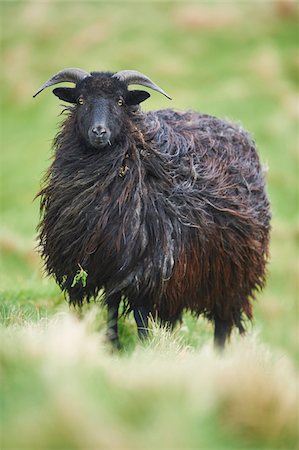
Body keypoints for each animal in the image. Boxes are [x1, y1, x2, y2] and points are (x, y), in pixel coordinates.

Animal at [33, 67, 272, 348]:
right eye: (81, 100)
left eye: (120, 101)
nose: (99, 132)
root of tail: (235, 128)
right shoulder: (106, 263)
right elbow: (112, 306)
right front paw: (113, 345)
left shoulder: (147, 266)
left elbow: (140, 314)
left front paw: (145, 349)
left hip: (231, 272)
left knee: (222, 322)